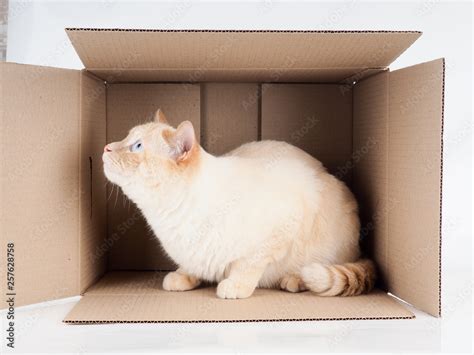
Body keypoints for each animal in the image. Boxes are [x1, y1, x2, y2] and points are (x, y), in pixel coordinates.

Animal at [103, 110, 374, 298]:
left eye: (137, 146)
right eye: (126, 137)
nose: (106, 147)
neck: (167, 216)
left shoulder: (280, 228)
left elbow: (248, 265)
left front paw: (235, 286)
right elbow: (189, 266)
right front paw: (181, 278)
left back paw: (294, 280)